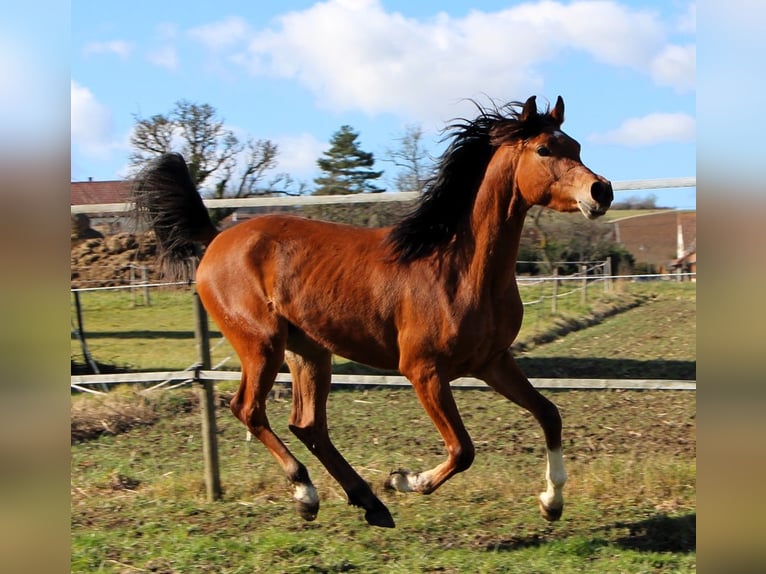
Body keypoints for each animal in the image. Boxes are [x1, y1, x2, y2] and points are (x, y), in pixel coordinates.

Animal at [132, 95, 612, 532]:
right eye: (544, 150)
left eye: (576, 146)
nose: (601, 191)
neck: (459, 268)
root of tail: (216, 238)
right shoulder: (423, 371)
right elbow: (463, 449)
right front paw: (406, 480)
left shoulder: (492, 361)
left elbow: (549, 413)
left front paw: (551, 503)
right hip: (261, 345)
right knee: (249, 409)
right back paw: (307, 495)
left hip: (309, 351)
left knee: (307, 424)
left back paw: (368, 503)